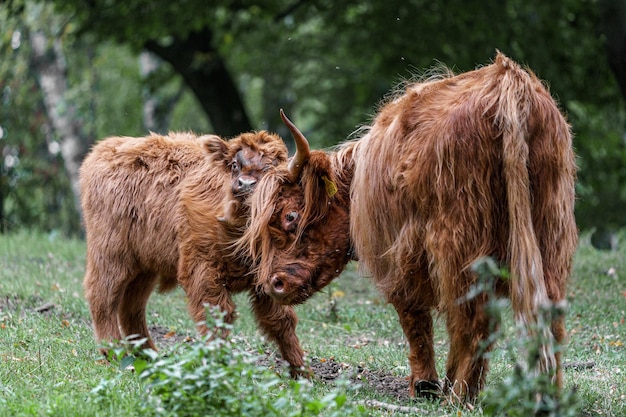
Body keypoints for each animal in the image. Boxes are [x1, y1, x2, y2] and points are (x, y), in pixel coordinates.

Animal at [81, 128, 314, 372]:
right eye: (234, 164)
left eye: (271, 168)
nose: (245, 184)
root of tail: (104, 149)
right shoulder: (202, 269)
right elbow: (217, 316)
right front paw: (219, 365)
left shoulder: (269, 279)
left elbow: (282, 321)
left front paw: (303, 372)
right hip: (111, 253)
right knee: (102, 295)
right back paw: (114, 353)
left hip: (145, 266)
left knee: (131, 307)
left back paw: (149, 356)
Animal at [239, 53, 576, 398]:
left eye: (291, 216)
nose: (273, 284)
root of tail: (506, 78)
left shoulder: (397, 253)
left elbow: (413, 316)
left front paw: (425, 385)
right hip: (550, 228)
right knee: (547, 311)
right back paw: (546, 394)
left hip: (458, 240)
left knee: (473, 315)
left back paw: (459, 397)